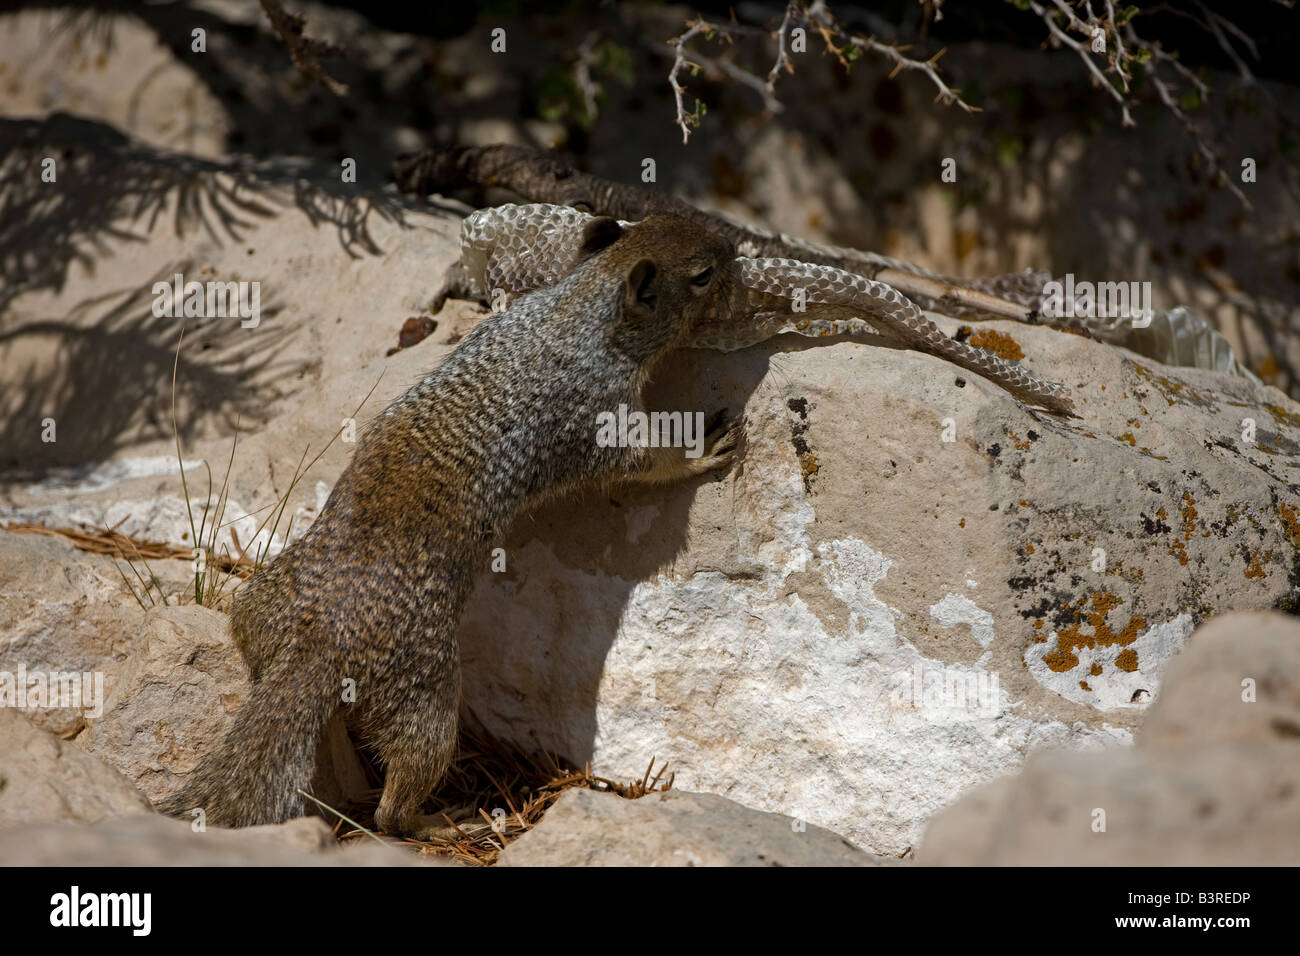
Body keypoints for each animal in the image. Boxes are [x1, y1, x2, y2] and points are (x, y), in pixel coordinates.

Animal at [157, 213, 744, 837]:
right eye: (703, 273)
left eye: (668, 220)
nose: (733, 245)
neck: (577, 313)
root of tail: (315, 645)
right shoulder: (596, 416)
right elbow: (643, 460)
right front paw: (701, 449)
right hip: (428, 699)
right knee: (395, 803)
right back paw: (445, 822)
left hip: (259, 602)